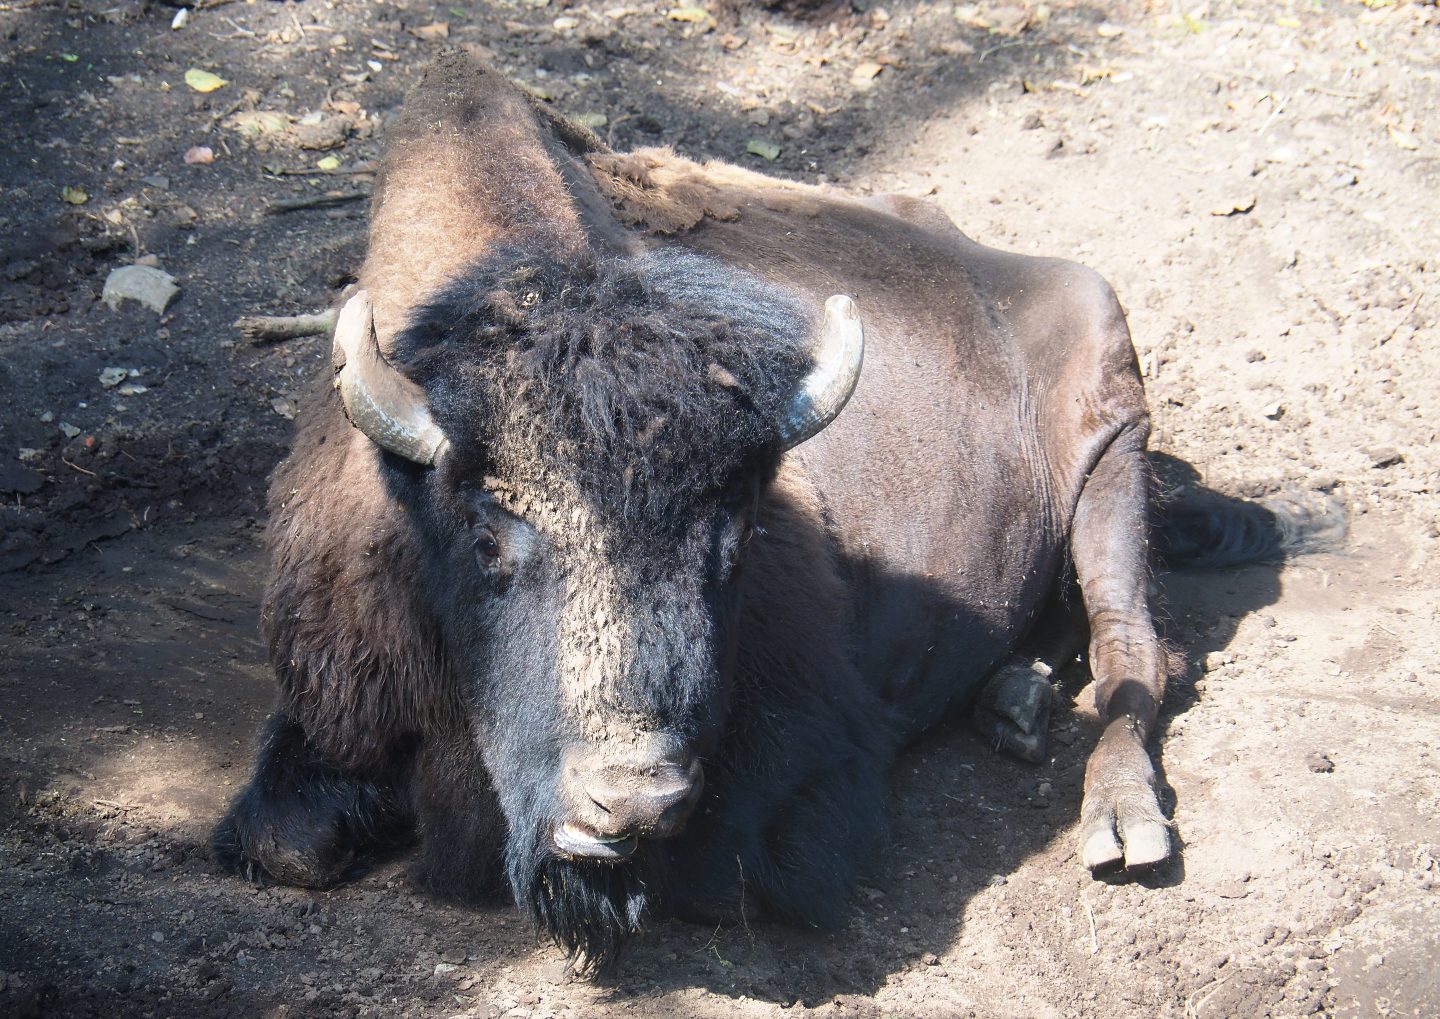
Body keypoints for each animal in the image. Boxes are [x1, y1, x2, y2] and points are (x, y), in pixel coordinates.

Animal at [214, 54, 1317, 969]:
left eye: (736, 538)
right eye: (487, 535)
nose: (630, 798)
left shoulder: (811, 766)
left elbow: (730, 871)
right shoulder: (334, 694)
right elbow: (285, 839)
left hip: (1112, 442)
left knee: (1137, 647)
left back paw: (1120, 818)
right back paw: (1014, 699)